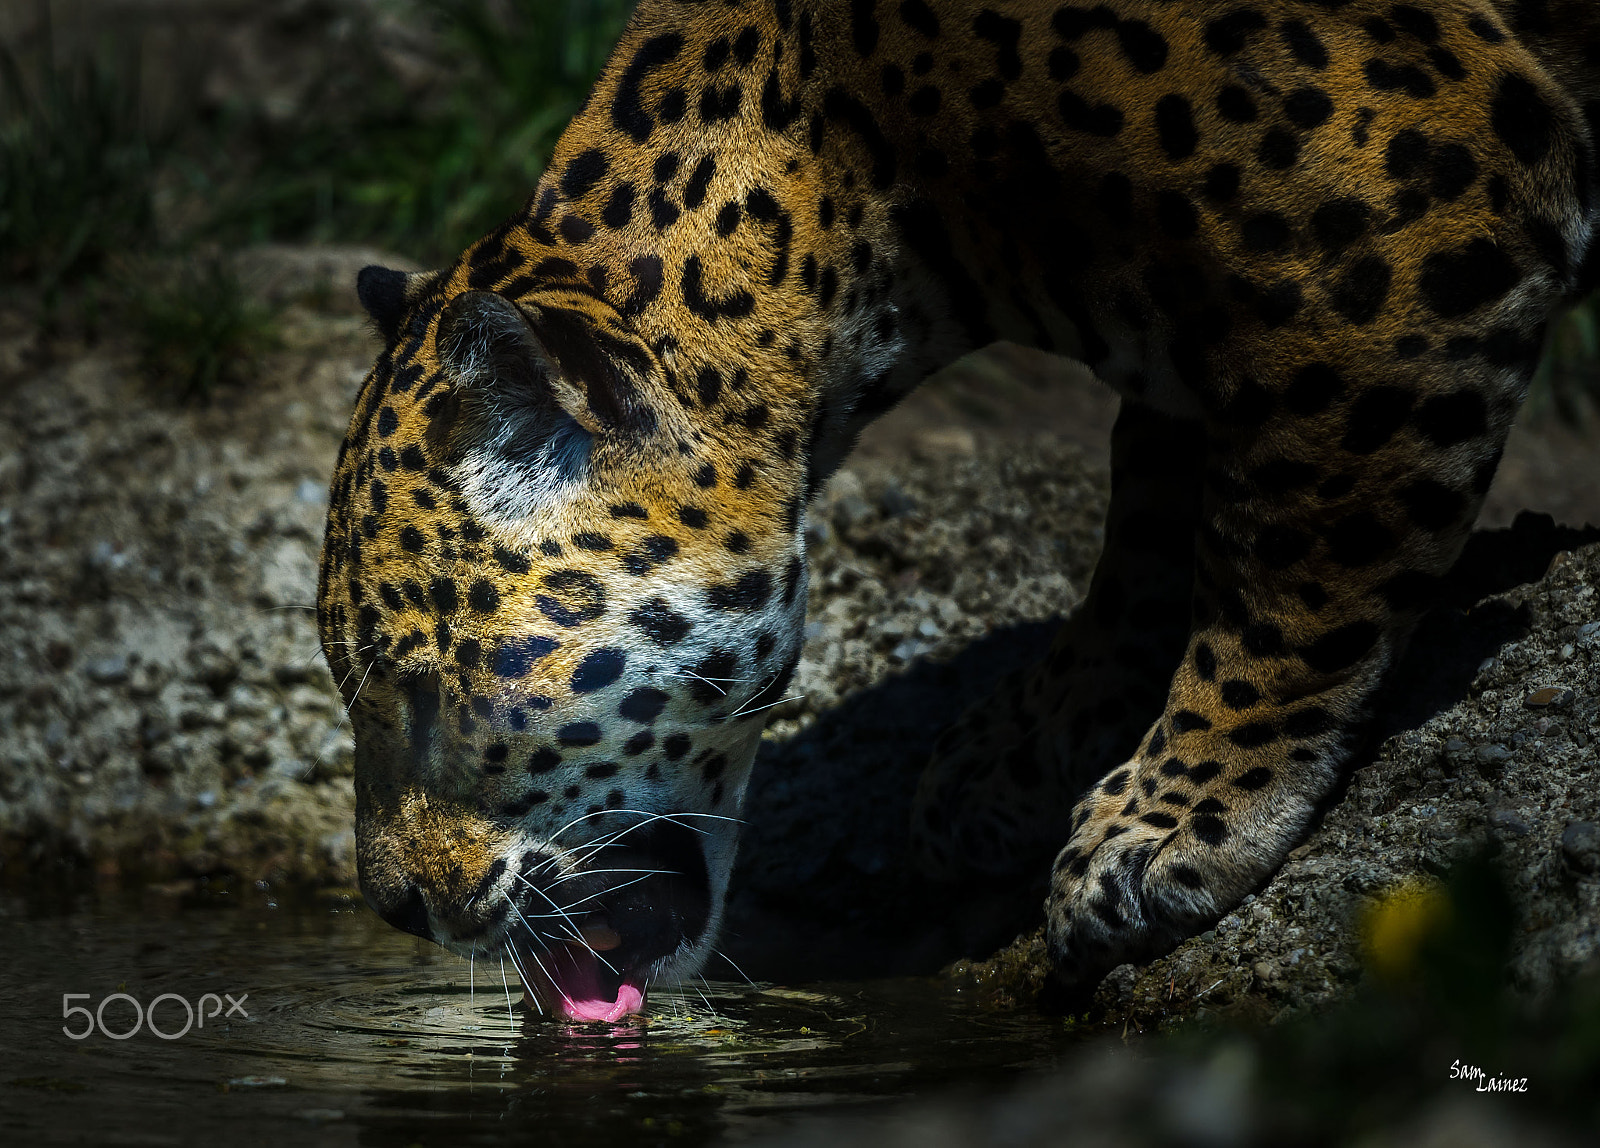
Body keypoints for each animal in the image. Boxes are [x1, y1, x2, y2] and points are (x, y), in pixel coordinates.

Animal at [318, 0, 1600, 1022]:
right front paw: (1021, 754)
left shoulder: (1400, 225)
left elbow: (1294, 554)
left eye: (421, 693)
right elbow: (1152, 520)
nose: (394, 906)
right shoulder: (1185, 322)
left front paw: (1172, 820)